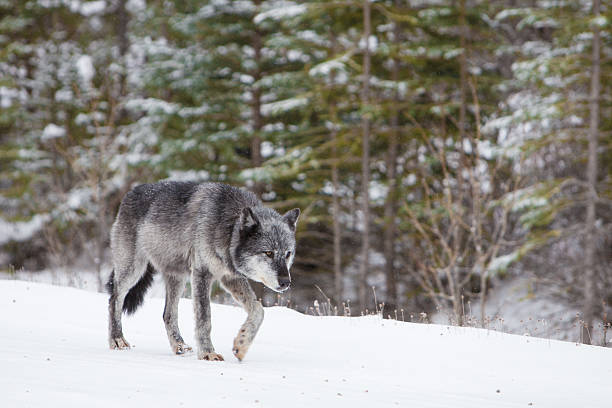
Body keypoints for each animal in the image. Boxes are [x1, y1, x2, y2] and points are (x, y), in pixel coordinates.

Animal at [106, 182, 300, 360]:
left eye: (288, 254)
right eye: (268, 253)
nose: (286, 282)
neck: (228, 225)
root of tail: (130, 192)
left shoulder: (229, 277)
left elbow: (259, 310)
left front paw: (241, 344)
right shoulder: (202, 273)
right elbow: (205, 318)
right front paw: (208, 353)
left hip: (177, 278)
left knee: (168, 314)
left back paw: (180, 346)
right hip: (133, 270)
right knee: (114, 299)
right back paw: (117, 340)